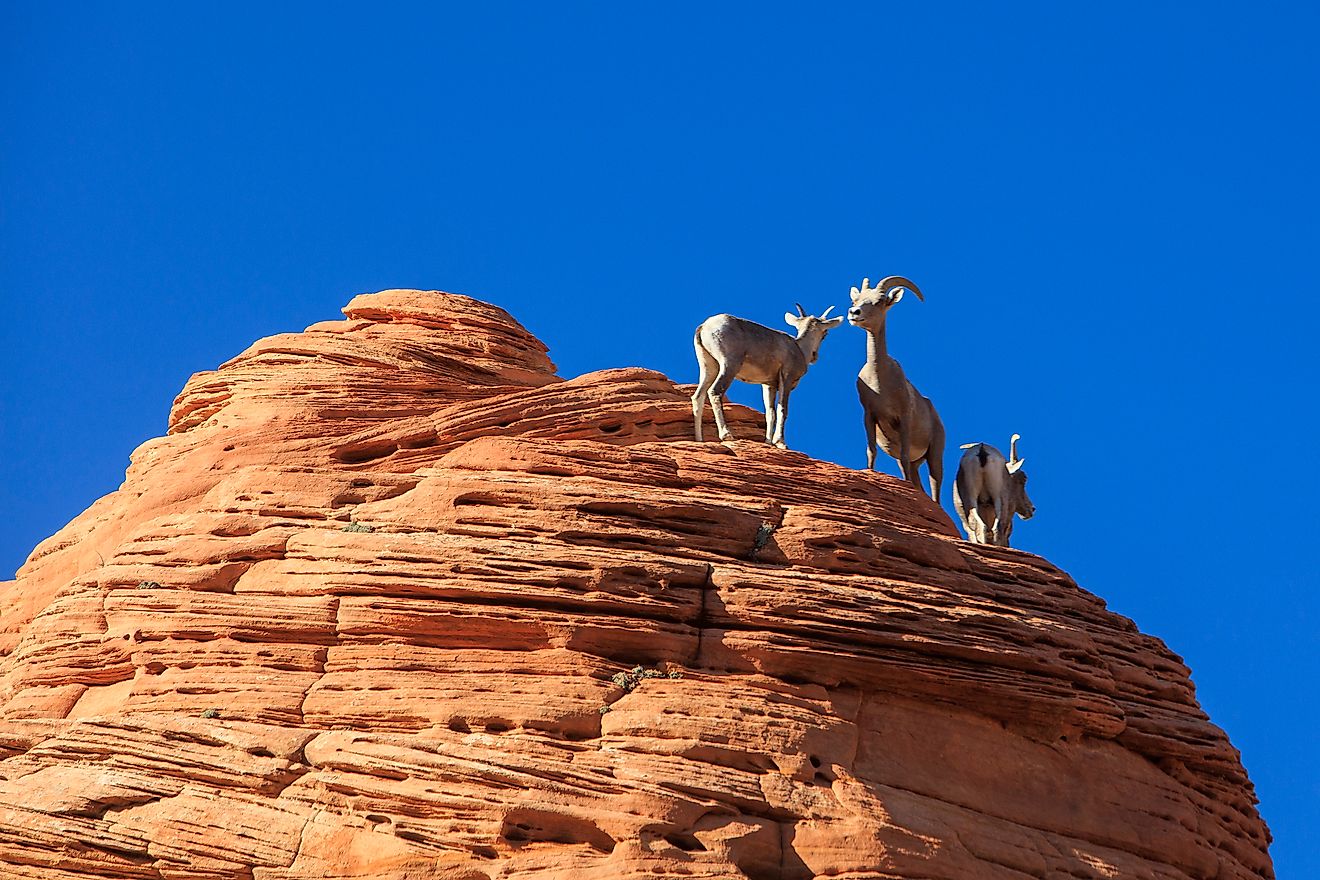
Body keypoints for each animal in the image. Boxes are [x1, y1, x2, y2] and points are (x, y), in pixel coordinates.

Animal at [691, 306, 844, 451]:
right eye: (825, 333)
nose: (814, 356)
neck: (800, 349)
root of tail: (704, 326)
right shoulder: (786, 379)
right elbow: (782, 409)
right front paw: (781, 443)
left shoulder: (769, 385)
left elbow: (770, 413)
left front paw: (768, 442)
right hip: (729, 365)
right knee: (715, 392)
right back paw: (727, 435)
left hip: (709, 368)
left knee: (698, 396)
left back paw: (699, 440)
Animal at [850, 275, 945, 501]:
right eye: (857, 299)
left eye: (880, 301)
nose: (854, 312)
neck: (880, 384)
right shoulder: (869, 415)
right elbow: (871, 450)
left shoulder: (903, 418)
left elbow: (902, 456)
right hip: (917, 462)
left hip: (935, 456)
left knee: (935, 487)